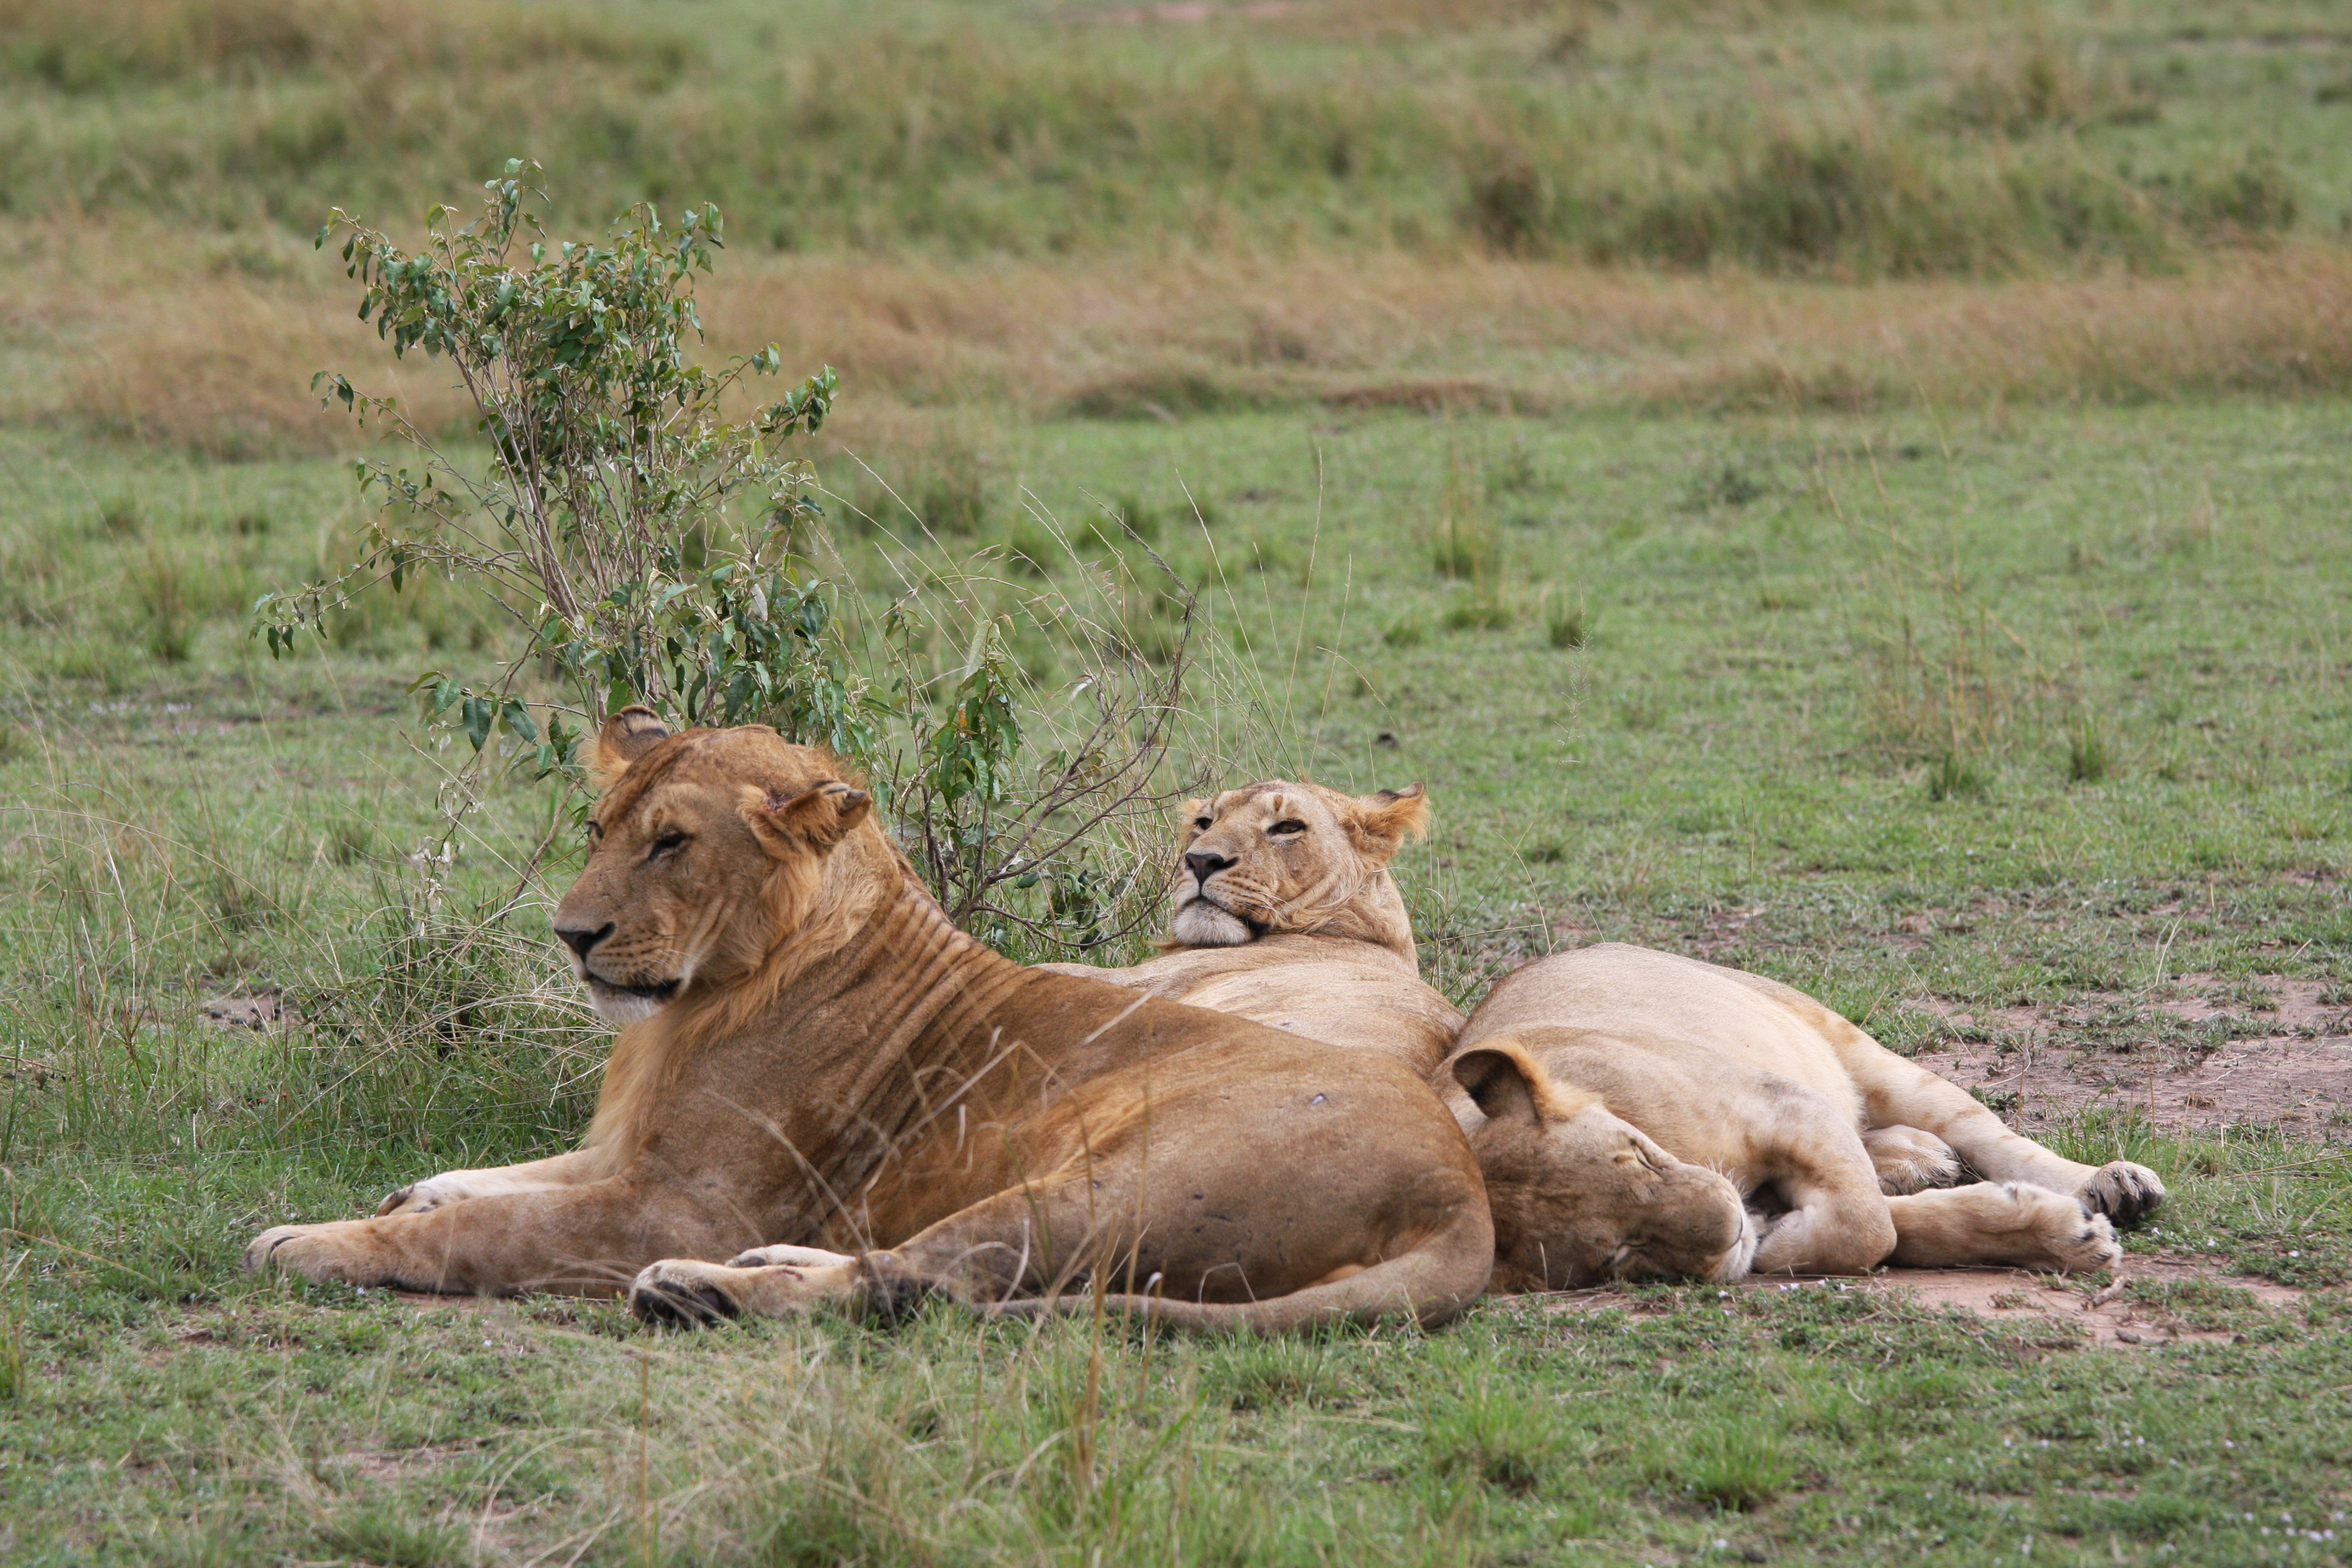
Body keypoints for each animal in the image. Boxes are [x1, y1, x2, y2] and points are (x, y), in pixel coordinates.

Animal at [1429, 945, 2163, 1288]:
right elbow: (1899, 1228)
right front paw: (2065, 1236)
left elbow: (1863, 1228)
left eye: (1638, 1153)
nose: (1730, 1228)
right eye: (1619, 1252)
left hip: (1846, 1042)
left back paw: (2114, 1183)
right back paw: (1915, 1160)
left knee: (1981, 1128)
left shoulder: (1782, 1104)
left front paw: (1780, 1244)